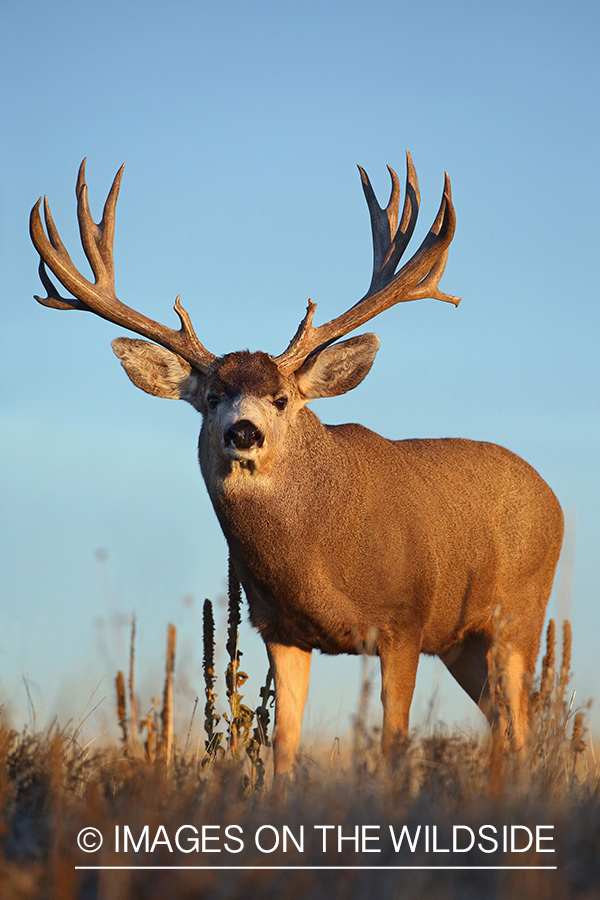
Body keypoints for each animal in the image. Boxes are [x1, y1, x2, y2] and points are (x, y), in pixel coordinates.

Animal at [29, 153, 564, 772]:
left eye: (281, 398)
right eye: (212, 397)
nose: (244, 431)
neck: (315, 556)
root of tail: (552, 498)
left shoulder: (403, 622)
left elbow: (393, 742)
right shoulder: (279, 629)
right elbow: (282, 745)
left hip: (519, 617)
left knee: (522, 724)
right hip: (463, 644)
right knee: (504, 721)